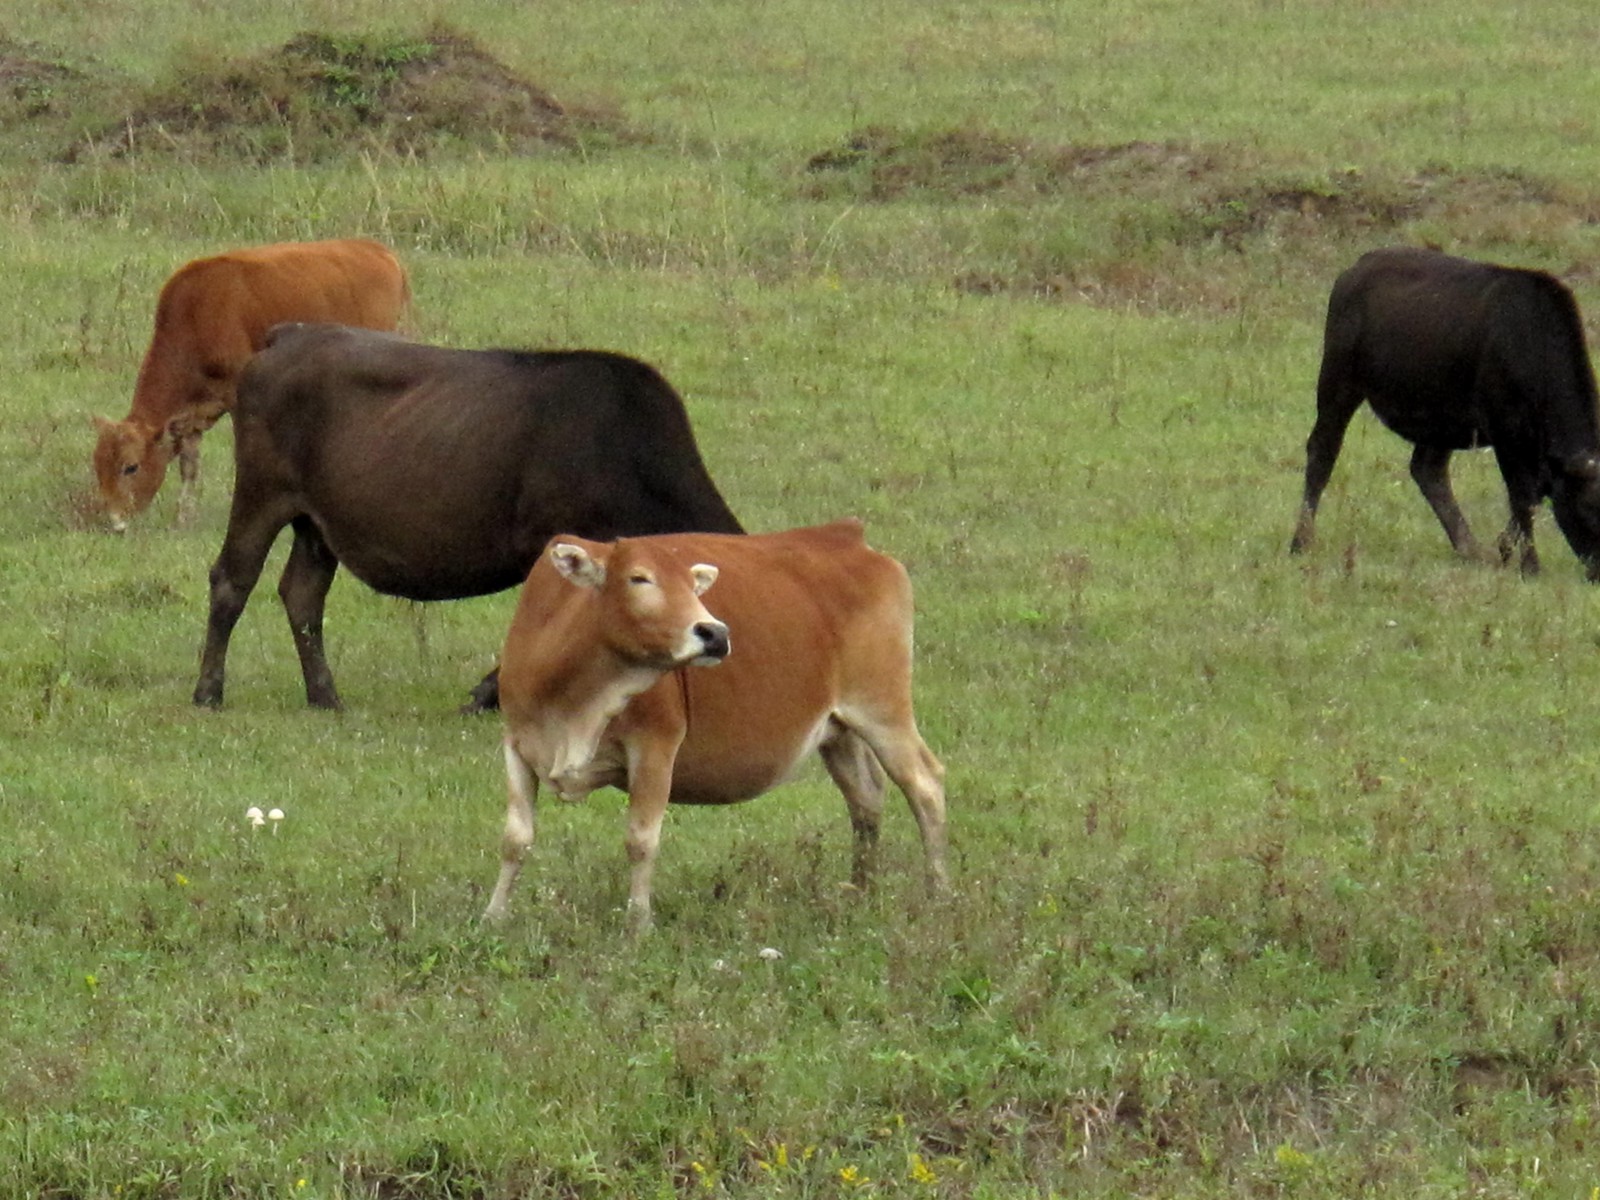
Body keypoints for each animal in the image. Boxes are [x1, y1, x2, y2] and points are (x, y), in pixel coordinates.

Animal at [90, 240, 409, 531]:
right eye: (97, 464)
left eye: (130, 467)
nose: (113, 522)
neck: (196, 314)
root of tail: (377, 249)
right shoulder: (193, 415)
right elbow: (189, 466)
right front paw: (183, 518)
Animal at [196, 324, 745, 713]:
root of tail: (290, 334)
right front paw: (491, 694)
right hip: (262, 492)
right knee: (233, 578)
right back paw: (208, 692)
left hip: (316, 524)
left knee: (303, 594)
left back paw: (325, 697)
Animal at [480, 521, 940, 934]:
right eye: (638, 578)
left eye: (692, 586)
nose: (714, 633)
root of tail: (846, 536)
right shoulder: (516, 743)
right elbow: (515, 838)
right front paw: (494, 916)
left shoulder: (655, 747)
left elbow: (640, 840)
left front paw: (637, 924)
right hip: (839, 728)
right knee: (865, 798)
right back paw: (861, 890)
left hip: (883, 709)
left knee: (925, 786)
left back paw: (939, 892)